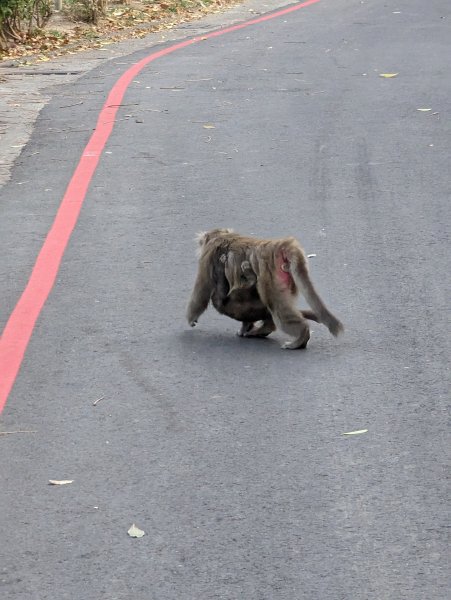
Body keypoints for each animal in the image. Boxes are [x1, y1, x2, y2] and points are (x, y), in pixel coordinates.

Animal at [185, 230, 344, 352]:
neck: (222, 235)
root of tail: (280, 245)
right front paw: (245, 327)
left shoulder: (208, 255)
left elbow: (202, 291)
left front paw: (191, 318)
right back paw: (263, 329)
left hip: (270, 278)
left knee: (277, 309)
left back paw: (300, 336)